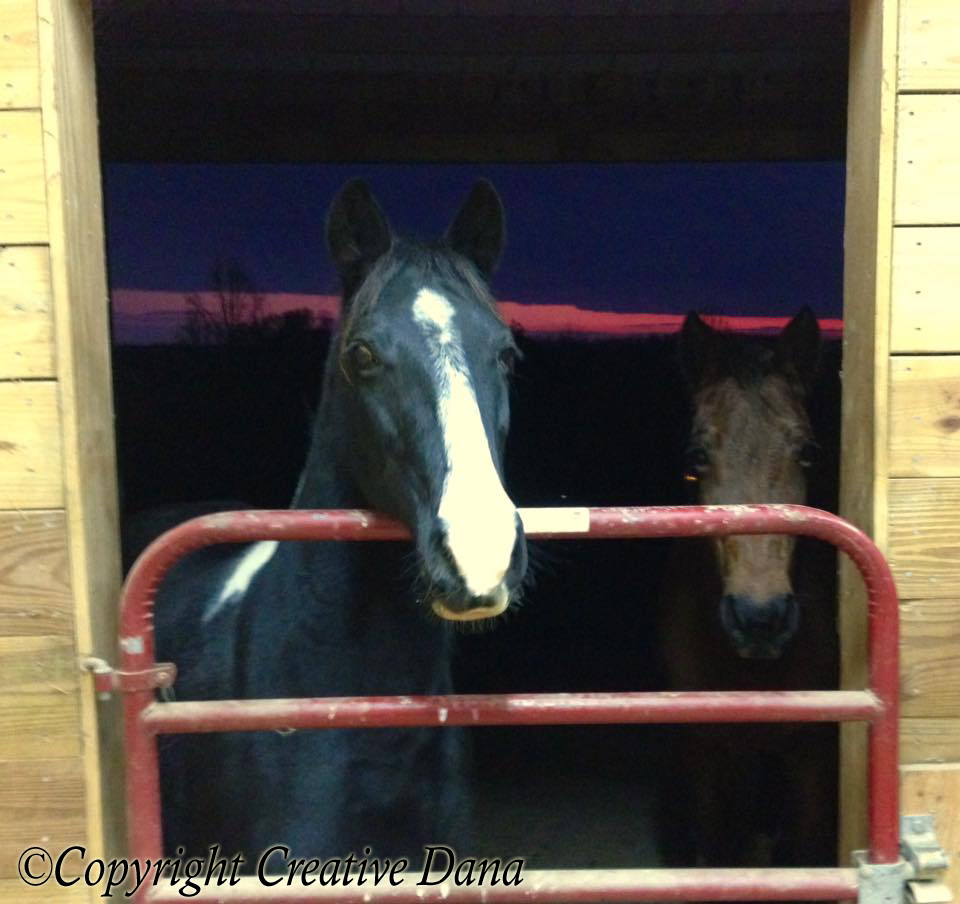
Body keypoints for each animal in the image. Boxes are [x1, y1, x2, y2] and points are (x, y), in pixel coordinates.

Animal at [656, 308, 839, 874]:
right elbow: (717, 854)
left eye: (809, 453)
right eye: (695, 457)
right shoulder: (708, 755)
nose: (760, 619)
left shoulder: (811, 755)